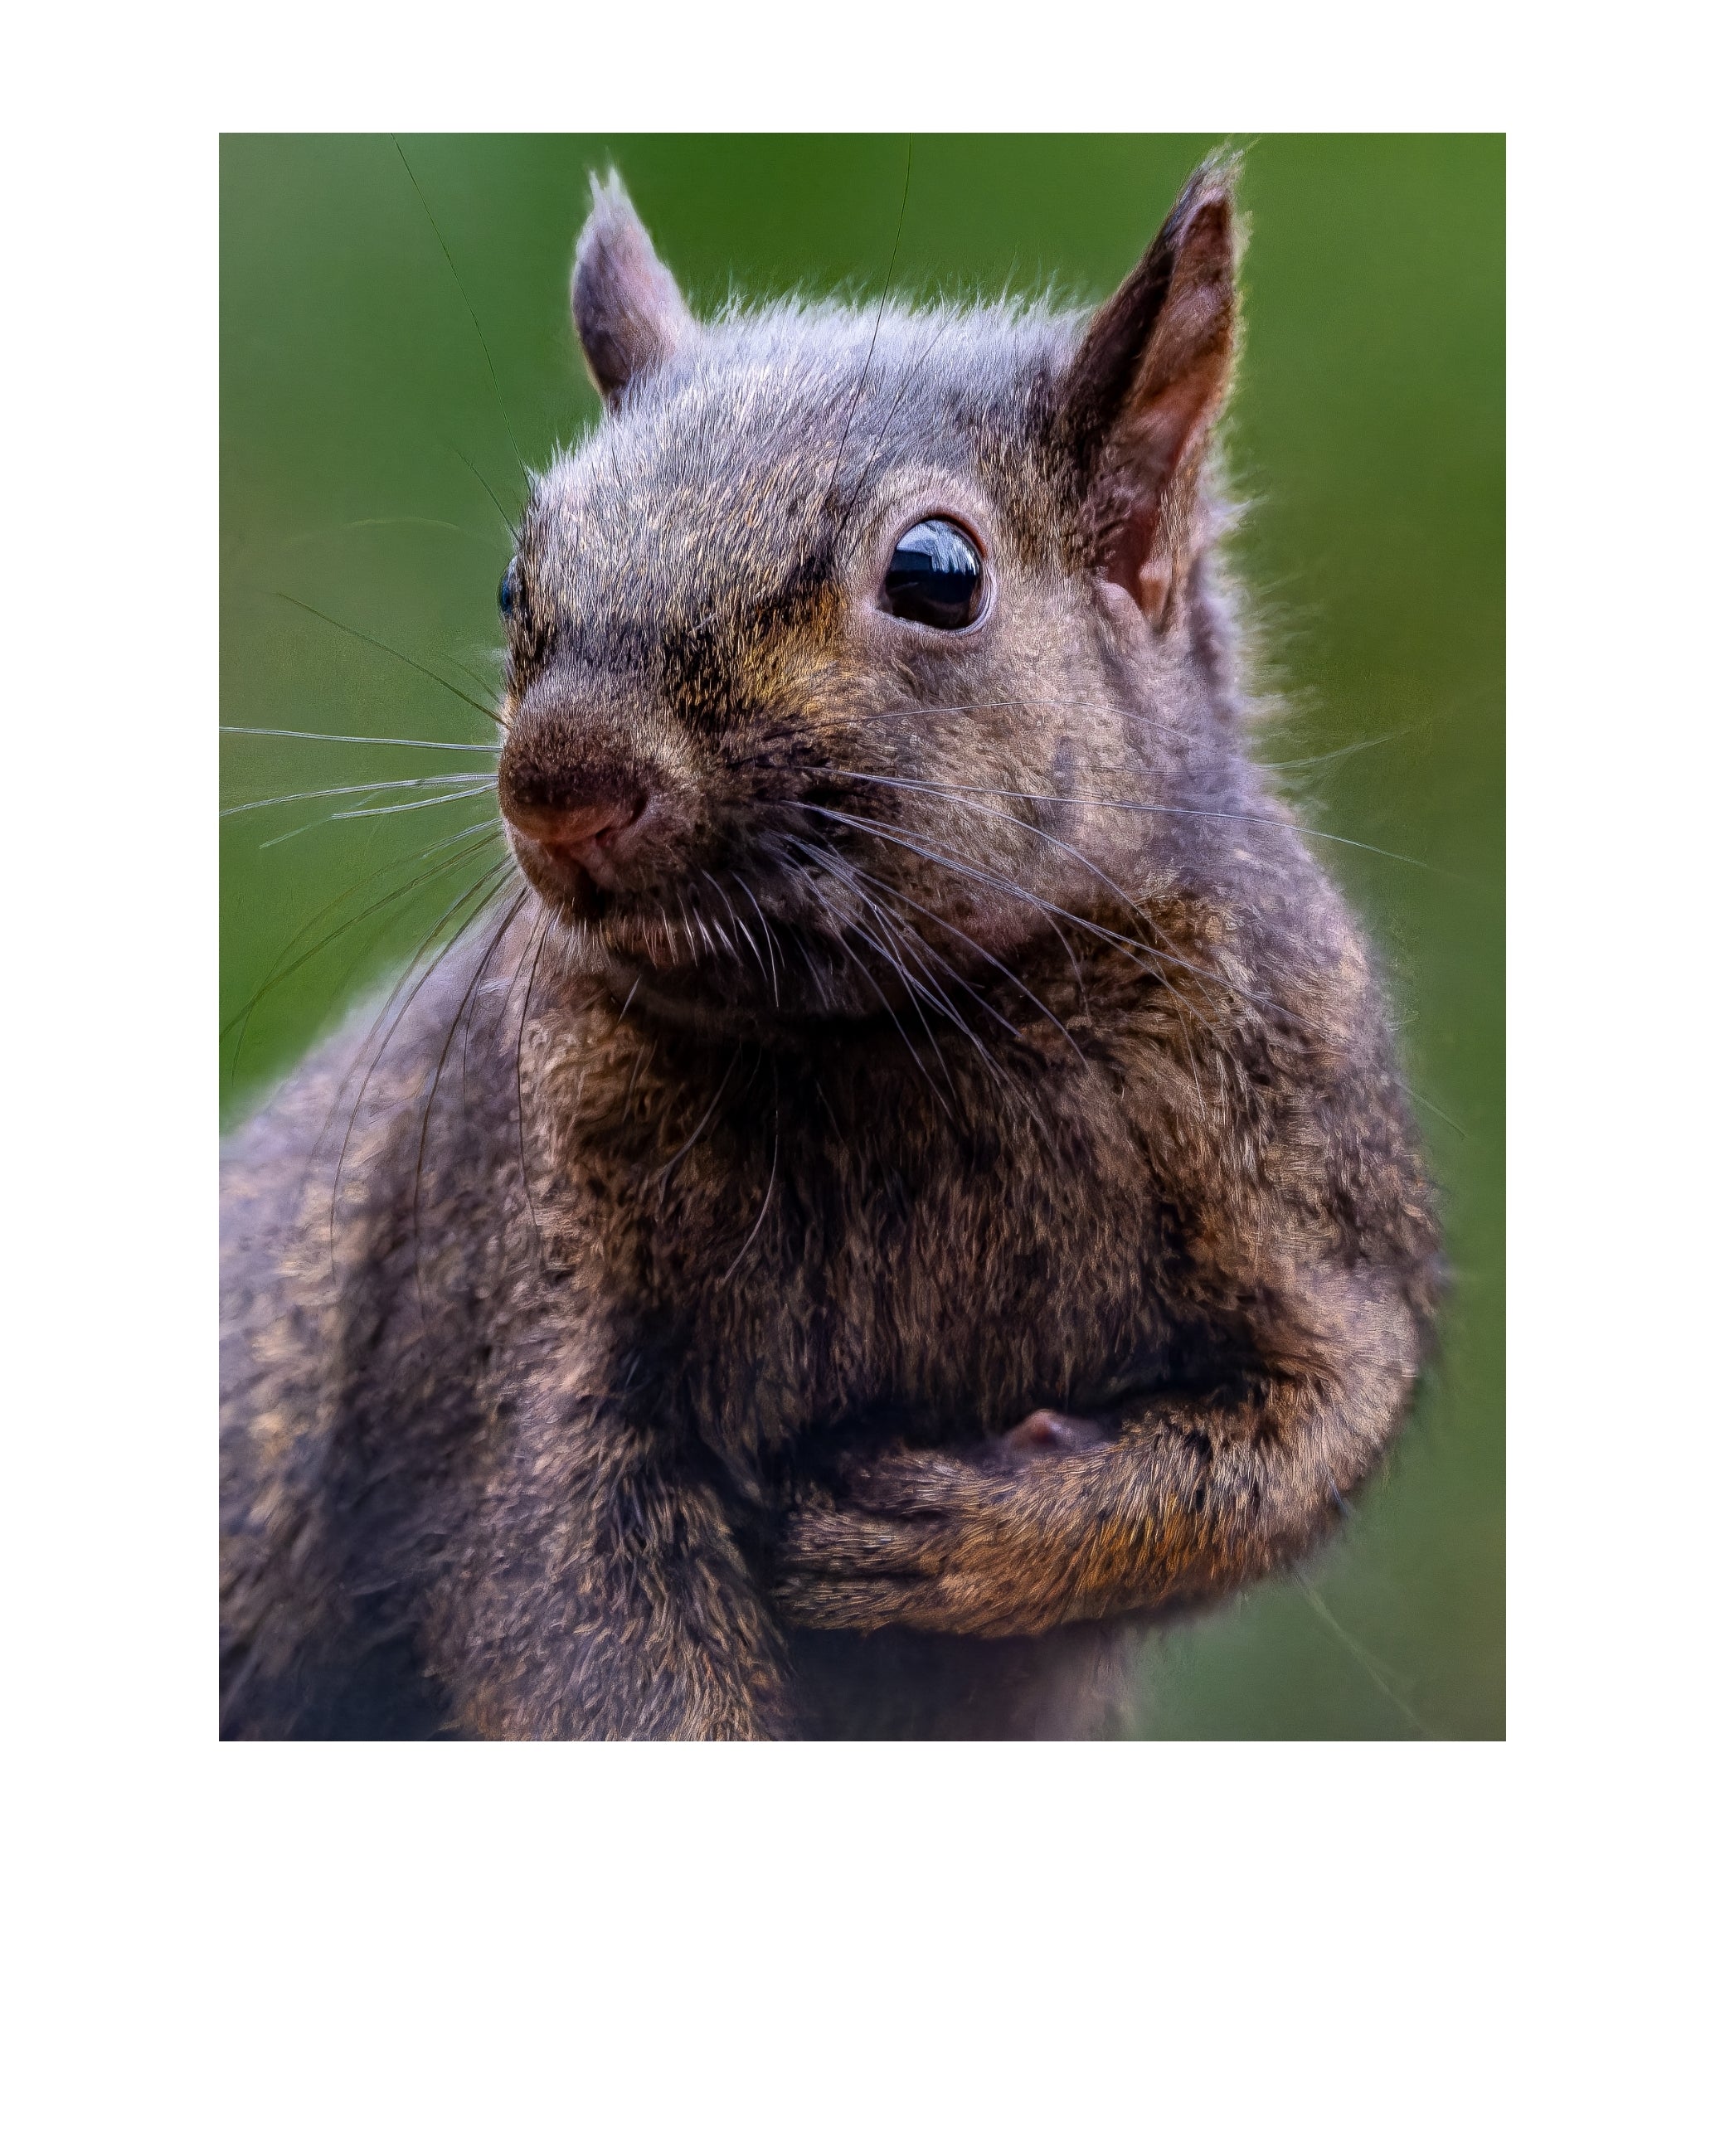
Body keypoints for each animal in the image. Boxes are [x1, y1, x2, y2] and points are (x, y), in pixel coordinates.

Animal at [220, 157, 1442, 1740]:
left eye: (937, 572)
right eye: (512, 581)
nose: (561, 783)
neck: (905, 1026)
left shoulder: (1312, 1148)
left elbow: (1312, 1426)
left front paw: (961, 1540)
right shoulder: (501, 1294)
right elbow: (567, 1607)